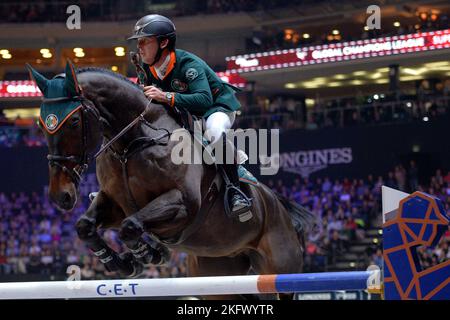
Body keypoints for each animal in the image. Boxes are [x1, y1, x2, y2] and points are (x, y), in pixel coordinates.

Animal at [27, 61, 316, 298]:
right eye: (41, 125)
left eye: (74, 121)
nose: (60, 196)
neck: (131, 145)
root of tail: (279, 206)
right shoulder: (116, 203)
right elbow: (85, 226)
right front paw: (125, 263)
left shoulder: (182, 205)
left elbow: (130, 227)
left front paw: (148, 254)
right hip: (218, 276)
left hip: (281, 267)